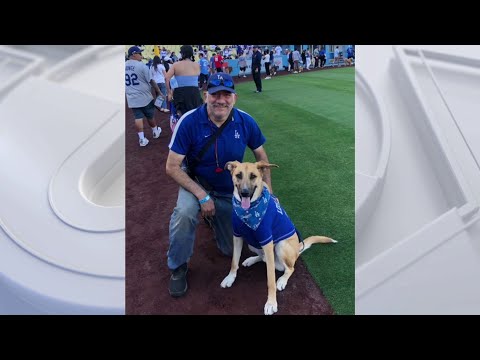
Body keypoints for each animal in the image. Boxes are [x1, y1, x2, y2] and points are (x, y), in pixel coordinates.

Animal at [219, 161, 336, 316]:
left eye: (253, 176)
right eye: (238, 175)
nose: (244, 193)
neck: (248, 212)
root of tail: (298, 249)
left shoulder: (267, 241)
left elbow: (270, 280)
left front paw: (271, 303)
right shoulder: (237, 235)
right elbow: (234, 261)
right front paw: (230, 278)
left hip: (281, 246)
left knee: (289, 268)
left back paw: (281, 281)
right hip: (253, 244)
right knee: (263, 258)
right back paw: (251, 260)